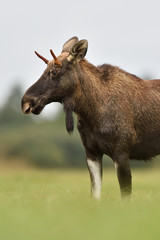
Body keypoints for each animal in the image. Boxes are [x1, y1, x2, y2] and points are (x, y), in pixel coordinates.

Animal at [21, 36, 160, 199]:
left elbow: (125, 196)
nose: (26, 101)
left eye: (54, 72)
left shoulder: (121, 152)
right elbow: (95, 194)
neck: (91, 112)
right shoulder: (92, 153)